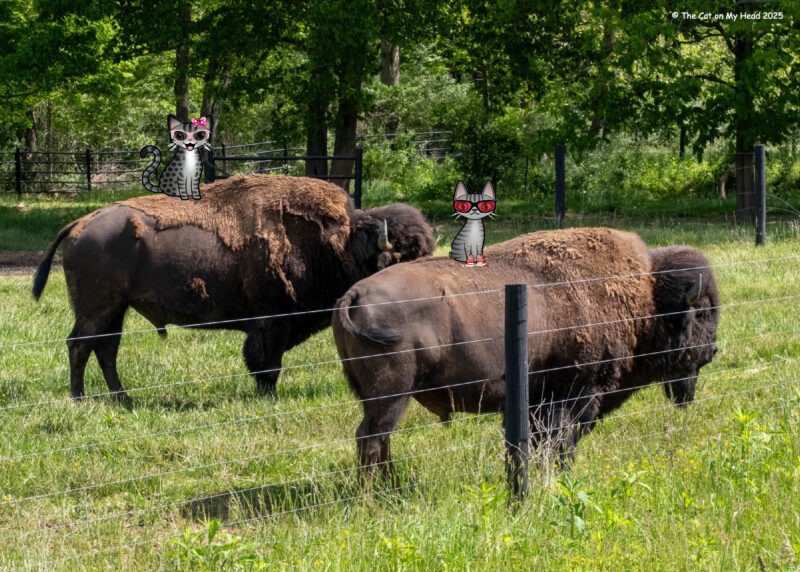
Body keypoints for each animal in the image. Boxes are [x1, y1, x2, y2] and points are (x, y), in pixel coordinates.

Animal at [33, 174, 435, 402]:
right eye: (401, 258)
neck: (338, 242)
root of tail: (80, 224)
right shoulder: (272, 322)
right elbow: (267, 364)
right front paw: (268, 397)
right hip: (96, 309)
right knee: (80, 346)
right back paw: (81, 399)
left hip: (115, 309)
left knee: (106, 349)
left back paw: (122, 398)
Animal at [332, 227, 720, 481]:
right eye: (701, 311)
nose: (714, 349)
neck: (646, 297)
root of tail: (353, 294)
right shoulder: (574, 394)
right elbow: (561, 440)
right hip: (391, 395)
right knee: (371, 438)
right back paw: (375, 499)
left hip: (378, 396)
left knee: (379, 440)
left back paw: (393, 490)